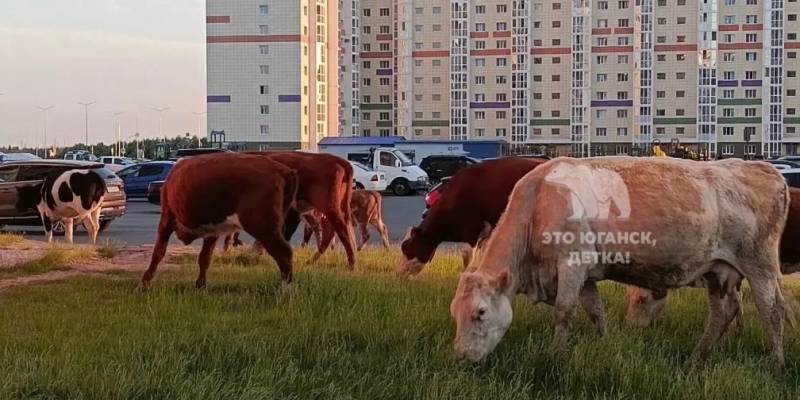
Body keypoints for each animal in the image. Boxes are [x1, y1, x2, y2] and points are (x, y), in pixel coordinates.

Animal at [141, 153, 299, 288]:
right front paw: (200, 285)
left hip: (262, 227)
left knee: (284, 252)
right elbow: (205, 257)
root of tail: (282, 170)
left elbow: (158, 252)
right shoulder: (213, 231)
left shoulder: (166, 218)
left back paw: (285, 288)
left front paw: (145, 281)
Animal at [224, 152, 357, 268]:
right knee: (329, 231)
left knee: (340, 229)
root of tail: (336, 160)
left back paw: (351, 264)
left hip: (329, 207)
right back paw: (312, 261)